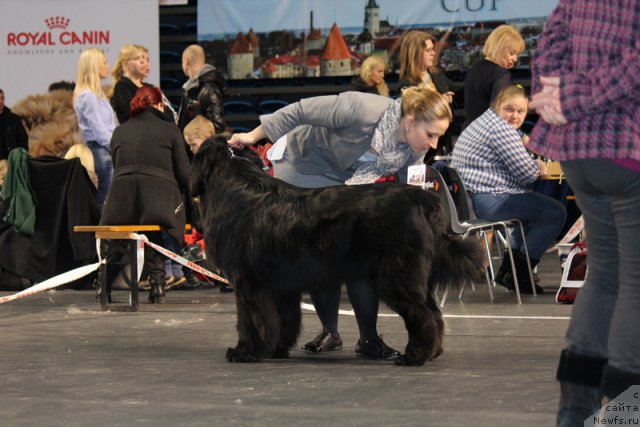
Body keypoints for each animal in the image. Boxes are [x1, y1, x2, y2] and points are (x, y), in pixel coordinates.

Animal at [191, 136, 484, 364]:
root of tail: (420, 197)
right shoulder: (281, 286)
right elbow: (283, 321)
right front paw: (275, 350)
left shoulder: (248, 281)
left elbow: (250, 320)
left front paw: (244, 352)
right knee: (433, 313)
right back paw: (431, 352)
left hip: (396, 275)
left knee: (424, 316)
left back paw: (414, 356)